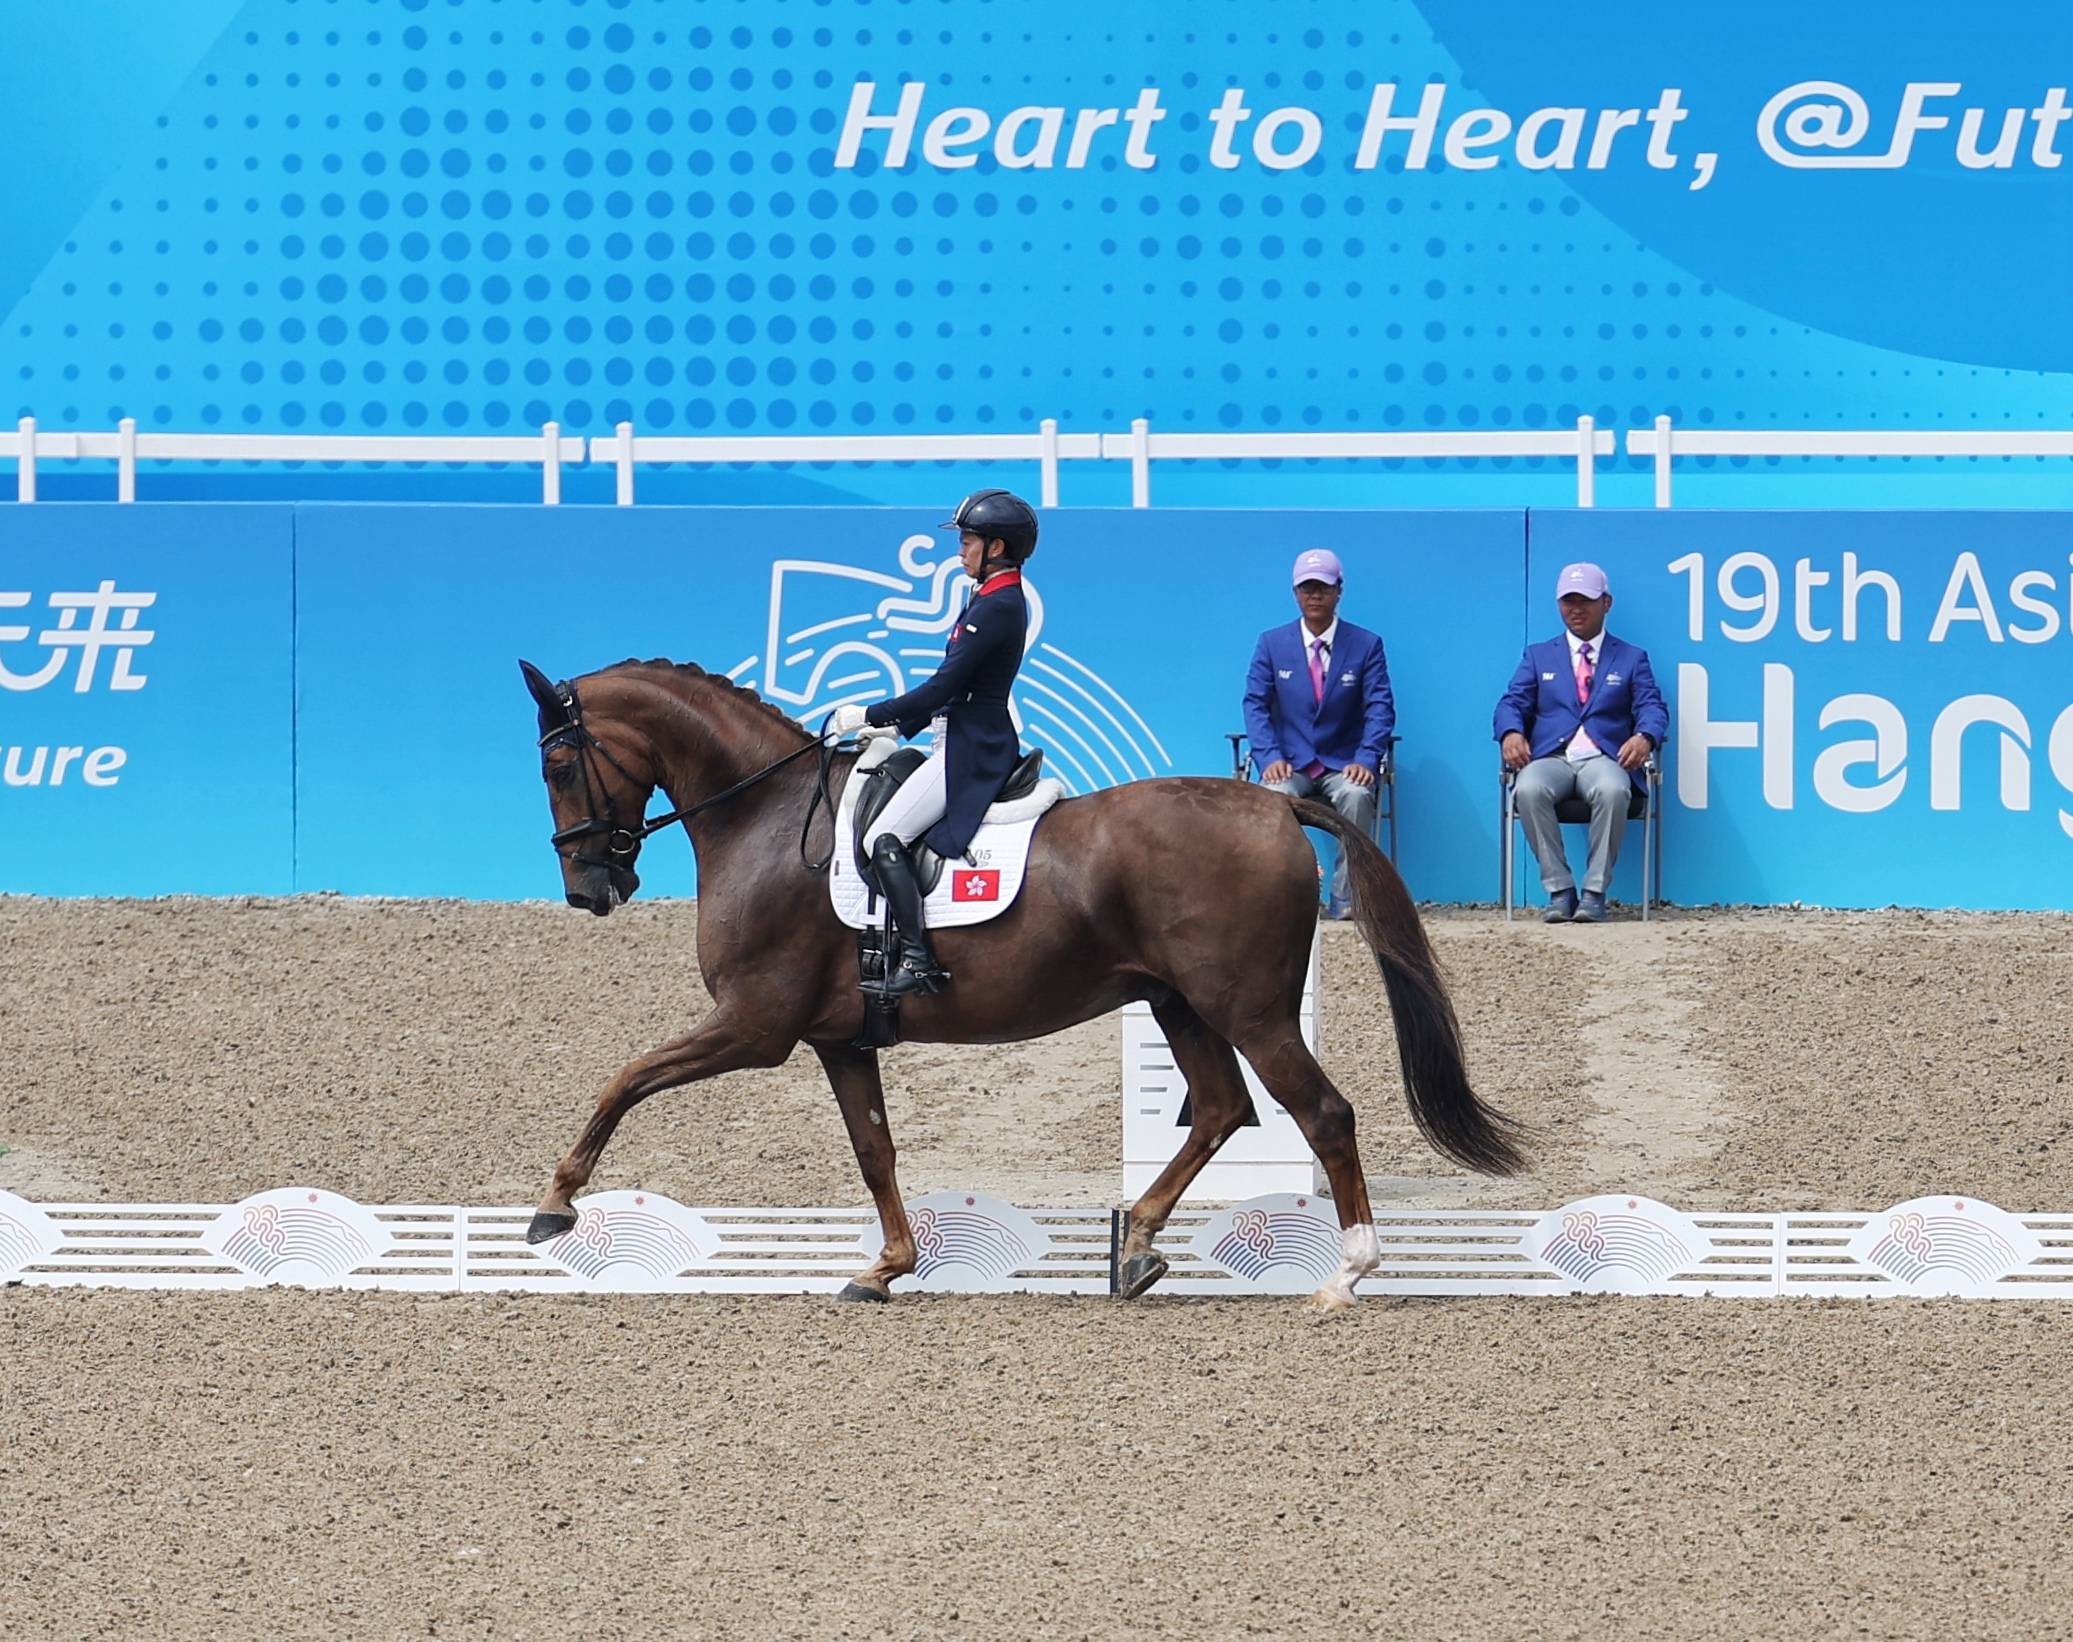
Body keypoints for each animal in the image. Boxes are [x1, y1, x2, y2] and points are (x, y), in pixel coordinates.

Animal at [518, 655, 1525, 1310]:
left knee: (1319, 1113)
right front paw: (886, 1267)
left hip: (1246, 1008)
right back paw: (1137, 1250)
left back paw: (1345, 1275)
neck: (766, 816)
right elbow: (874, 1150)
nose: (587, 890)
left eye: (559, 763)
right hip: (1180, 1004)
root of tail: (1277, 803)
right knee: (1221, 1110)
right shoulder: (837, 1039)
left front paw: (554, 1206)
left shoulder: (753, 1025)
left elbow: (625, 1079)